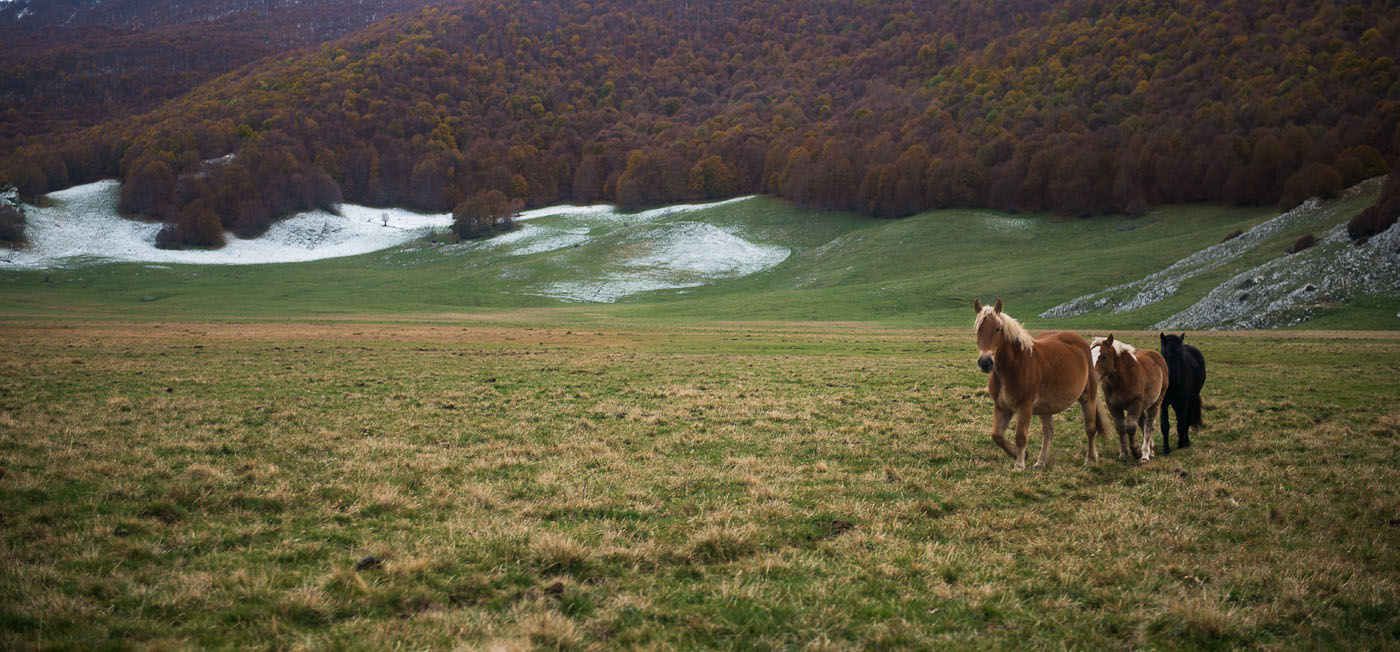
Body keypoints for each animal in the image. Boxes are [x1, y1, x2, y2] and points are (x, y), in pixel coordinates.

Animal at [968, 298, 1108, 470]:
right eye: (978, 330)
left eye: (997, 329)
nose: (985, 362)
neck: (1012, 368)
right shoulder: (1001, 406)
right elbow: (997, 435)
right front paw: (1021, 455)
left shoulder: (1024, 406)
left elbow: (1020, 436)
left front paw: (1019, 465)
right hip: (1045, 406)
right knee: (1048, 431)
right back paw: (1042, 461)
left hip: (1088, 397)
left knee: (1090, 428)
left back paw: (1090, 458)